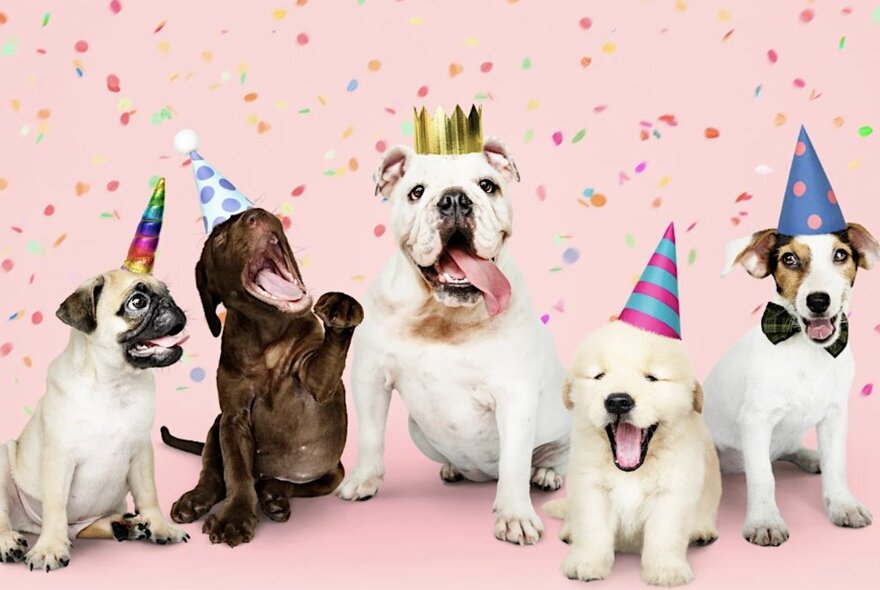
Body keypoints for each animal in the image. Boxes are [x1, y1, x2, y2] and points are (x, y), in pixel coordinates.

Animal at [544, 322, 720, 588]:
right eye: (599, 376)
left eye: (652, 378)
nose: (618, 401)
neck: (631, 470)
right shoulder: (590, 486)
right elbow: (591, 529)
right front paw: (586, 563)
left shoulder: (673, 490)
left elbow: (665, 533)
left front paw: (666, 570)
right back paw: (569, 531)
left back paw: (701, 531)